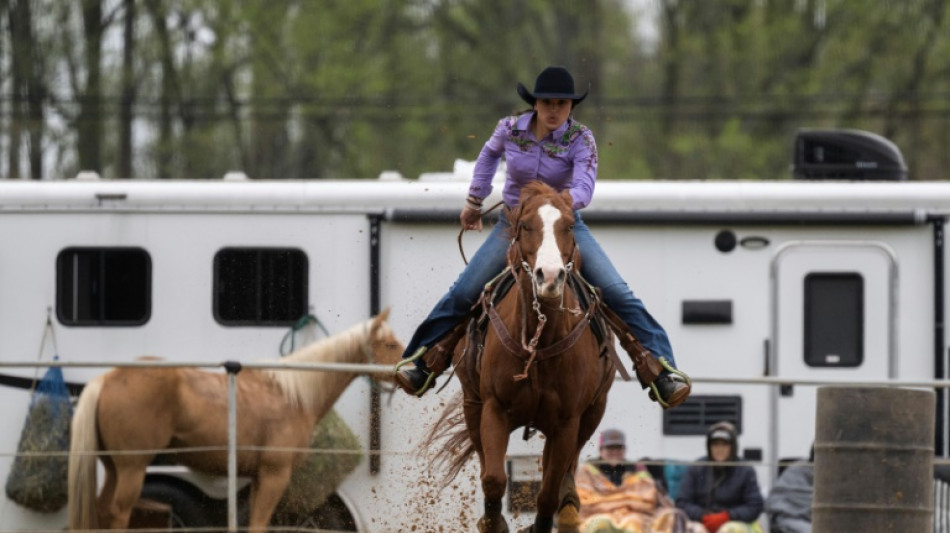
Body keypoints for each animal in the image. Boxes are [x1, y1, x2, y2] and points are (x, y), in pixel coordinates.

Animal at [66, 310, 402, 528]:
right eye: (389, 344)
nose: (411, 374)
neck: (293, 393)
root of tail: (108, 378)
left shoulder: (257, 478)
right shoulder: (274, 475)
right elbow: (259, 524)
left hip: (113, 469)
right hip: (133, 469)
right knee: (118, 514)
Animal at [434, 184, 616, 532]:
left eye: (569, 226)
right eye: (525, 226)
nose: (550, 276)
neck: (539, 342)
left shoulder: (567, 423)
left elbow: (547, 492)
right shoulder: (494, 408)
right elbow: (493, 479)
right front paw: (493, 523)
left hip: (593, 412)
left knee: (567, 470)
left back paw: (569, 508)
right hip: (472, 403)